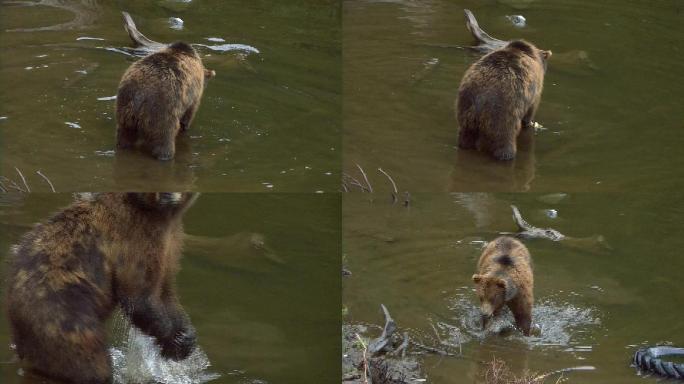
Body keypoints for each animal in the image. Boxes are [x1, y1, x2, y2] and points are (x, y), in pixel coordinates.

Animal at [5, 194, 198, 382]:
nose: (167, 196)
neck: (163, 215)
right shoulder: (135, 238)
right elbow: (138, 296)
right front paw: (174, 343)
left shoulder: (171, 242)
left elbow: (166, 291)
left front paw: (186, 335)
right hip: (61, 311)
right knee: (88, 361)